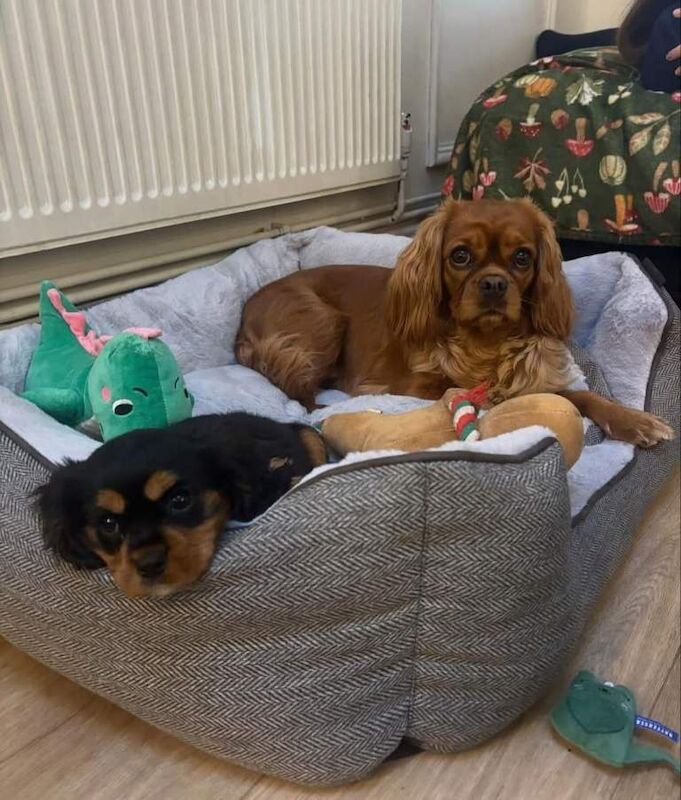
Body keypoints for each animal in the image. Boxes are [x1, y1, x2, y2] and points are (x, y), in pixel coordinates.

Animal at [236, 198, 674, 447]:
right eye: (460, 256)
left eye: (522, 257)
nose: (494, 284)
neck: (486, 343)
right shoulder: (416, 386)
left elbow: (581, 395)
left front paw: (633, 420)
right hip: (323, 321)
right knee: (299, 390)